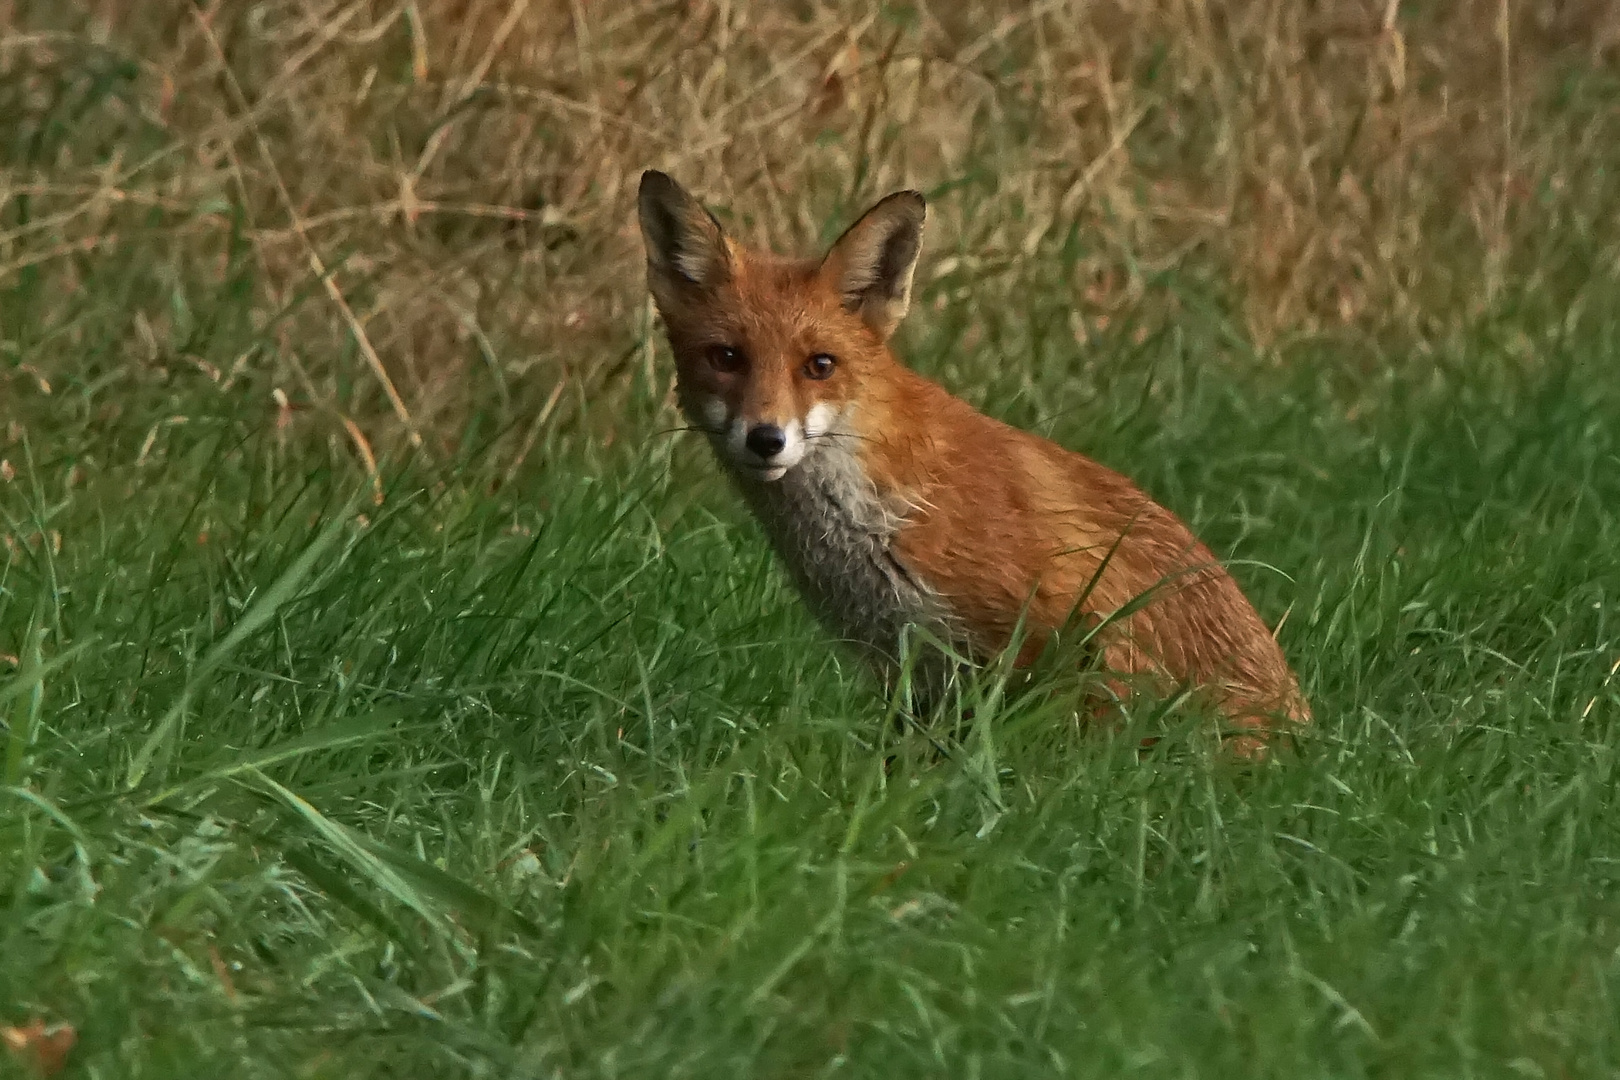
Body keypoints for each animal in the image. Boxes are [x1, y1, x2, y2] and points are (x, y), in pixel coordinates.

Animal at [638, 170, 1308, 744]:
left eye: (819, 365)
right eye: (726, 358)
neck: (879, 519)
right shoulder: (912, 671)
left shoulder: (1045, 637)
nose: (766, 438)